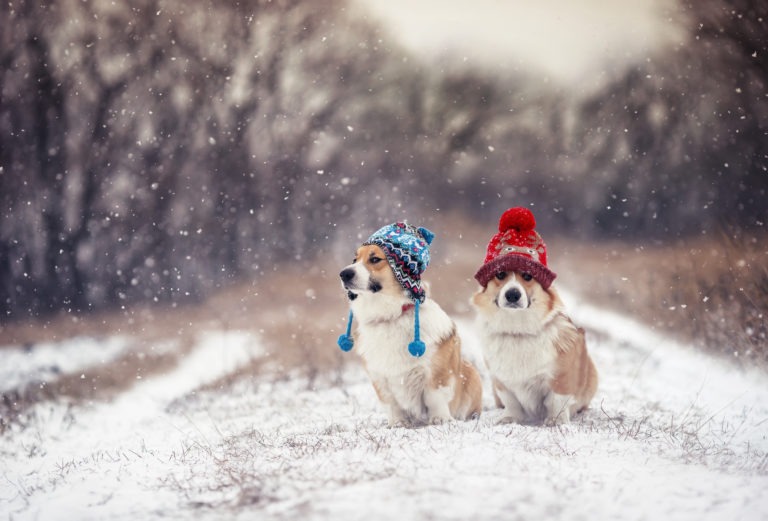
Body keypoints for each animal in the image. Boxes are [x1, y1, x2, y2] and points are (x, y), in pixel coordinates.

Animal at [338, 221, 480, 424]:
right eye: (354, 259)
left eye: (375, 259)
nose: (343, 274)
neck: (392, 315)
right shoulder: (379, 377)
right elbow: (391, 403)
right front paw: (397, 423)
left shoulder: (435, 373)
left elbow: (434, 397)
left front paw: (440, 419)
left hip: (472, 373)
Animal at [472, 205, 596, 424]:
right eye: (500, 274)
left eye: (528, 276)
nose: (513, 294)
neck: (517, 329)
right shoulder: (501, 381)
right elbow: (511, 402)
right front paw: (509, 418)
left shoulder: (560, 378)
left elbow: (556, 401)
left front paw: (555, 422)